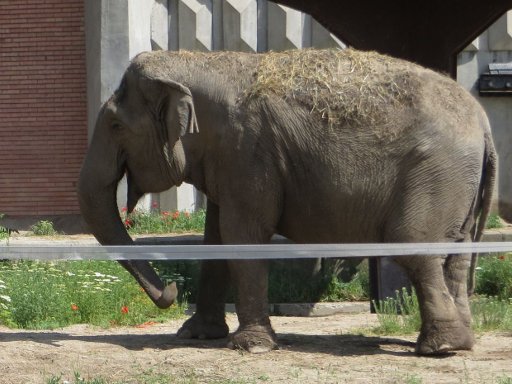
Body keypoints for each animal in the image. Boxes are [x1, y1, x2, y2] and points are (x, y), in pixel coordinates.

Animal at [79, 48, 496, 356]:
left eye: (116, 126)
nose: (171, 290)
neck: (200, 62)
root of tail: (484, 123)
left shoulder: (248, 150)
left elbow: (242, 234)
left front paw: (250, 347)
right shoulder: (230, 161)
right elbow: (216, 237)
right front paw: (196, 335)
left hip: (437, 172)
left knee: (413, 247)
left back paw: (440, 347)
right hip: (458, 185)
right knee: (456, 255)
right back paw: (459, 342)